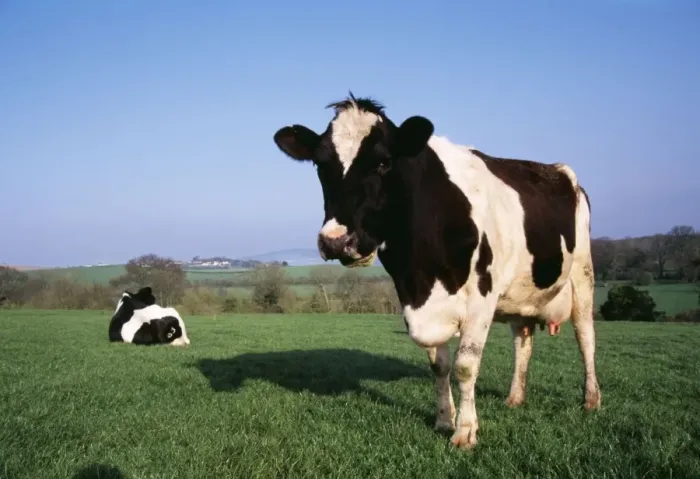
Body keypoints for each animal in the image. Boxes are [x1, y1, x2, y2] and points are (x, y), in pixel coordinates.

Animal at [272, 93, 601, 450]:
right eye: (320, 165)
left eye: (383, 162)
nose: (336, 241)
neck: (422, 267)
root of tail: (561, 172)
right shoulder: (416, 298)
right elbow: (439, 366)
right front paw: (444, 419)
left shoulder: (482, 296)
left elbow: (465, 366)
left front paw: (465, 431)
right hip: (521, 293)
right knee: (523, 341)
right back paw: (515, 398)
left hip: (583, 275)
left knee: (586, 337)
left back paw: (591, 399)